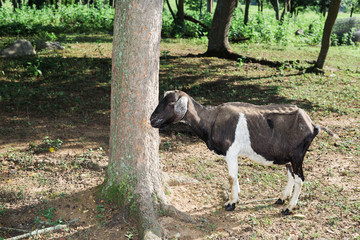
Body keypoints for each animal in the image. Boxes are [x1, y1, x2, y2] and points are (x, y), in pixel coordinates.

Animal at [150, 91, 324, 215]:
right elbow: (235, 176)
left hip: (297, 155)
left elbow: (231, 177)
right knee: (291, 175)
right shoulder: (233, 154)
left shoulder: (231, 151)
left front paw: (231, 203)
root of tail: (312, 125)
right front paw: (237, 197)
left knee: (300, 179)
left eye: (171, 103)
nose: (152, 119)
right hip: (286, 155)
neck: (212, 120)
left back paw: (289, 208)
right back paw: (282, 199)